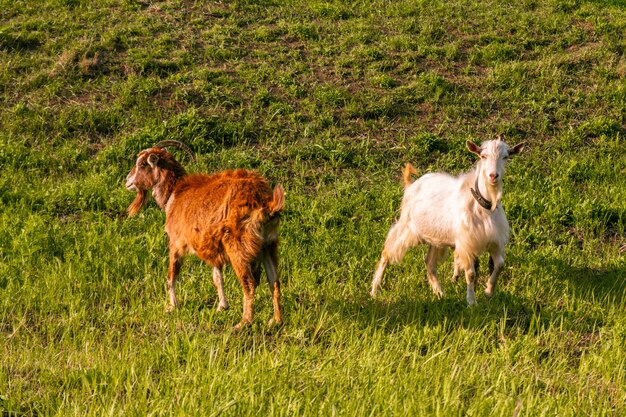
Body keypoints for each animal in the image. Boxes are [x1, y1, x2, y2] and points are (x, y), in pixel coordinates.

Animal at [124, 144, 282, 328]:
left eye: (142, 164)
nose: (127, 181)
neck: (175, 193)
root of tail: (264, 202)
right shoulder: (212, 244)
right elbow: (217, 277)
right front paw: (222, 306)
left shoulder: (176, 242)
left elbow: (172, 276)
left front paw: (172, 306)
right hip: (268, 244)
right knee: (274, 281)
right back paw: (276, 320)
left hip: (238, 246)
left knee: (249, 283)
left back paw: (243, 323)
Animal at [370, 138, 520, 304]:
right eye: (483, 156)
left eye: (506, 157)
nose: (493, 176)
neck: (483, 205)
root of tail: (411, 185)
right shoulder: (467, 244)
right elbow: (471, 274)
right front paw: (472, 301)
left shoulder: (494, 241)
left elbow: (499, 265)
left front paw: (488, 291)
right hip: (407, 227)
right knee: (387, 252)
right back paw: (374, 290)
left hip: (436, 238)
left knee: (429, 262)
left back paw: (439, 293)